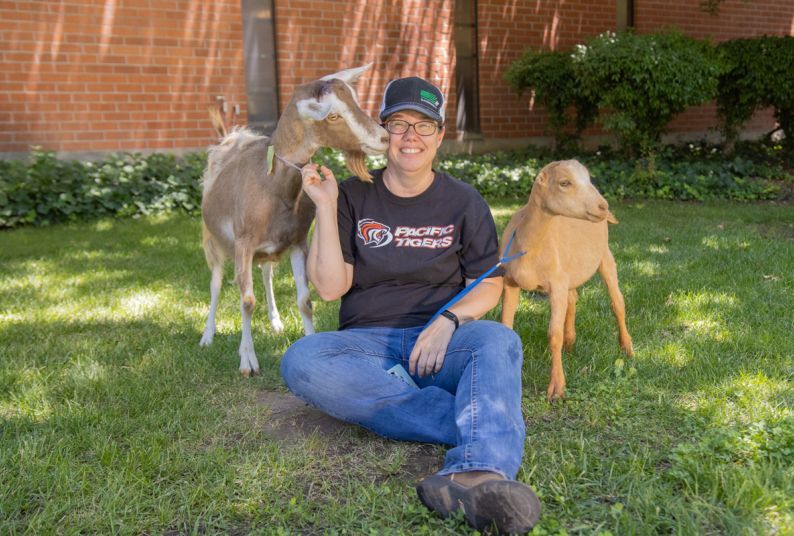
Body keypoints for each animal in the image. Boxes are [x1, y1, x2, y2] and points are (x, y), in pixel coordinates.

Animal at [200, 63, 388, 376]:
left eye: (355, 100)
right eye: (333, 115)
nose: (383, 138)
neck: (272, 186)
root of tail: (229, 139)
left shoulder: (299, 241)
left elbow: (305, 301)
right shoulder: (244, 243)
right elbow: (246, 301)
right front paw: (247, 361)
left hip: (266, 250)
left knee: (266, 274)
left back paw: (275, 321)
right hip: (213, 240)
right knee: (215, 283)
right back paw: (207, 335)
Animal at [502, 160, 632, 402]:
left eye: (589, 179)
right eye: (564, 183)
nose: (603, 206)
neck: (530, 246)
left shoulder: (557, 284)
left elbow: (554, 334)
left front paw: (556, 388)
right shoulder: (510, 281)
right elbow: (506, 326)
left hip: (604, 255)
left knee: (617, 302)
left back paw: (627, 348)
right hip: (570, 272)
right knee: (573, 298)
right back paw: (571, 343)